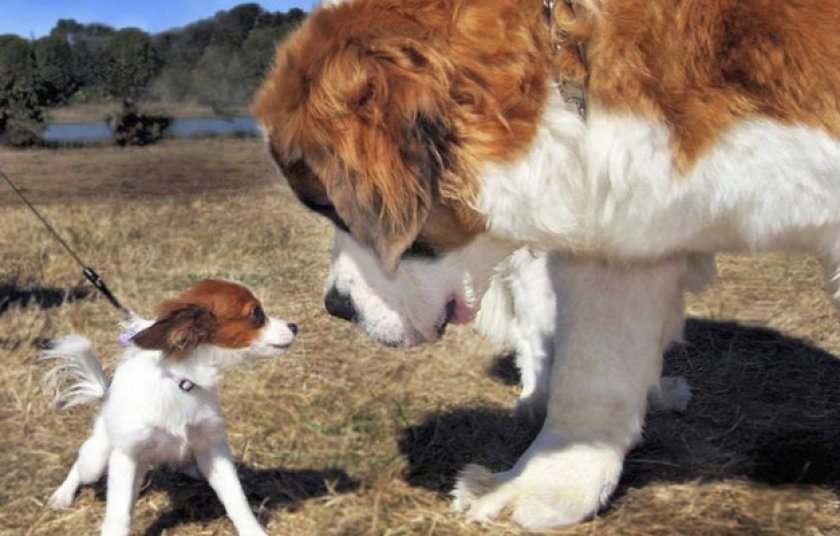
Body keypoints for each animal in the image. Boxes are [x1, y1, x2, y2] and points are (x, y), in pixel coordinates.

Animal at [40, 278, 296, 536]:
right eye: (256, 314)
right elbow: (119, 514)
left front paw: (253, 531)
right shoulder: (126, 456)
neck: (182, 382)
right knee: (80, 466)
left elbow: (236, 499)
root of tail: (106, 396)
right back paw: (63, 495)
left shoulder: (213, 447)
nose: (294, 326)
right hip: (97, 458)